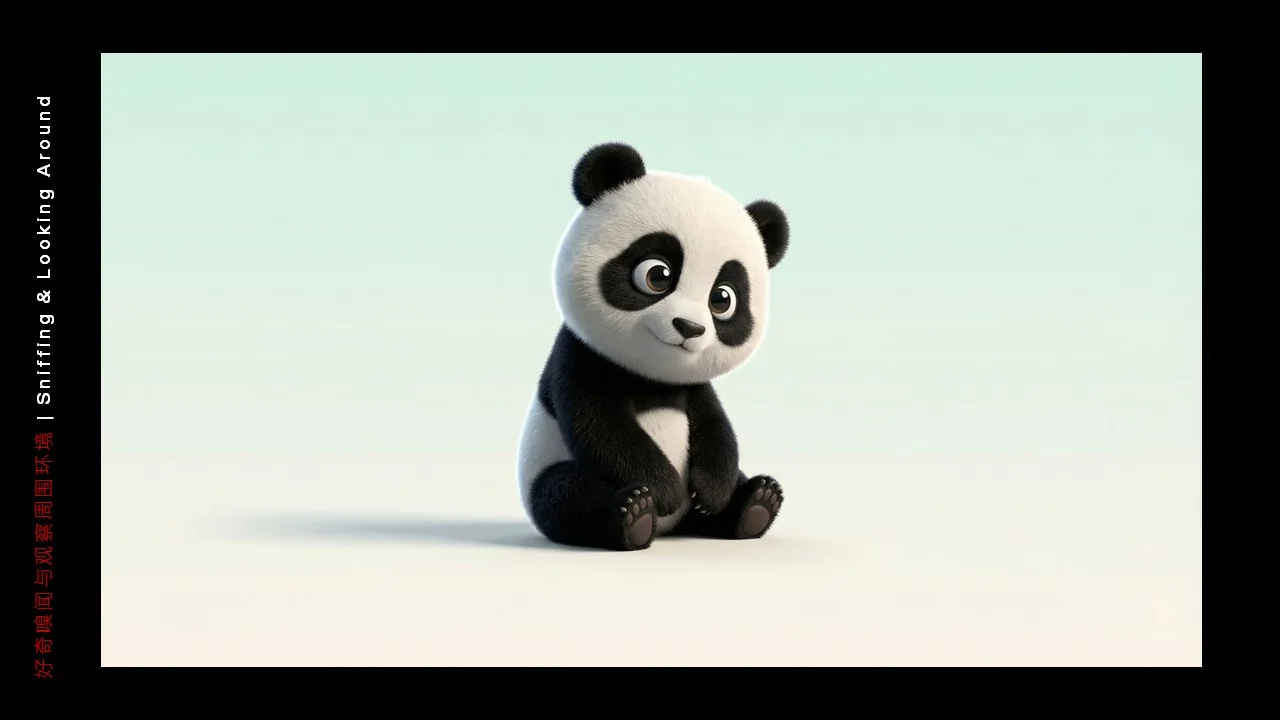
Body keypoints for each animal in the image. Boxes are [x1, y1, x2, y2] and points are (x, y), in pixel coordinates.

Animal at [517, 142, 790, 552]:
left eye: (722, 299)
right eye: (657, 275)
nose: (690, 328)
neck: (651, 376)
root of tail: (670, 529)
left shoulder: (693, 387)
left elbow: (716, 427)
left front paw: (711, 494)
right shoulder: (582, 360)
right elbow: (603, 428)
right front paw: (664, 490)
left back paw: (756, 503)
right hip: (547, 469)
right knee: (564, 493)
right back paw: (634, 514)